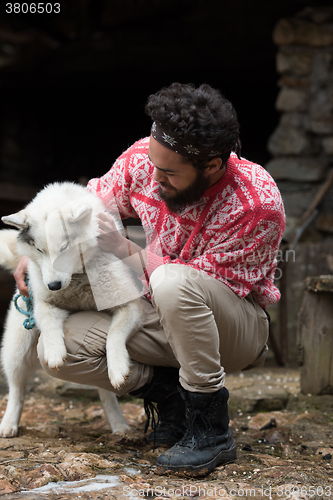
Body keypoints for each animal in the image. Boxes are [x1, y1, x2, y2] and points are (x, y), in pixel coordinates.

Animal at [0, 183, 144, 438]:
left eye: (64, 247)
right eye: (40, 250)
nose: (53, 285)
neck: (77, 279)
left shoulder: (130, 307)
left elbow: (115, 335)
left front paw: (118, 367)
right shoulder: (43, 305)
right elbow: (49, 325)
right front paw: (55, 352)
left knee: (105, 391)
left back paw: (118, 423)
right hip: (18, 346)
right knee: (16, 388)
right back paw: (9, 423)